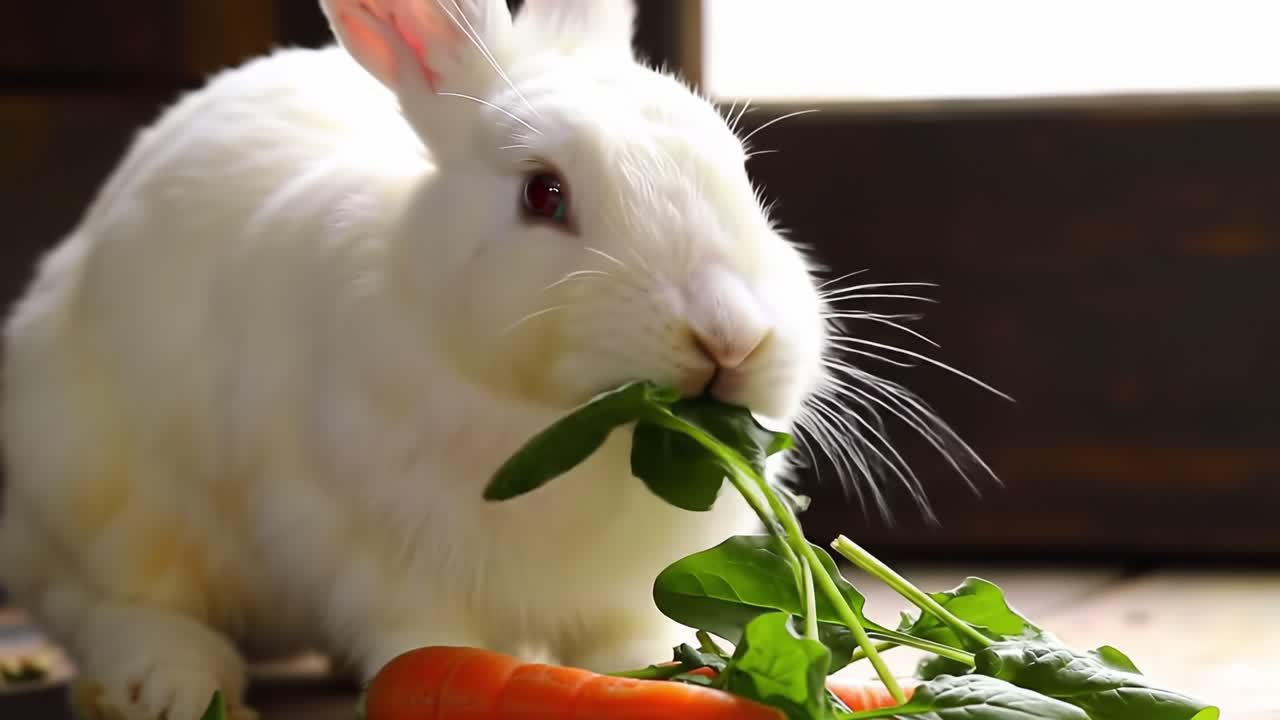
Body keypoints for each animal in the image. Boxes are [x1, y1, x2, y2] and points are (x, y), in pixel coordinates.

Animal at [0, 1, 833, 718]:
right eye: (544, 194)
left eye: (743, 175)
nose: (729, 336)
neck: (552, 426)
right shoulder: (365, 549)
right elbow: (423, 638)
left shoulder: (626, 592)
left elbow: (631, 641)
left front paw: (668, 675)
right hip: (95, 490)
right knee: (115, 604)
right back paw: (165, 684)